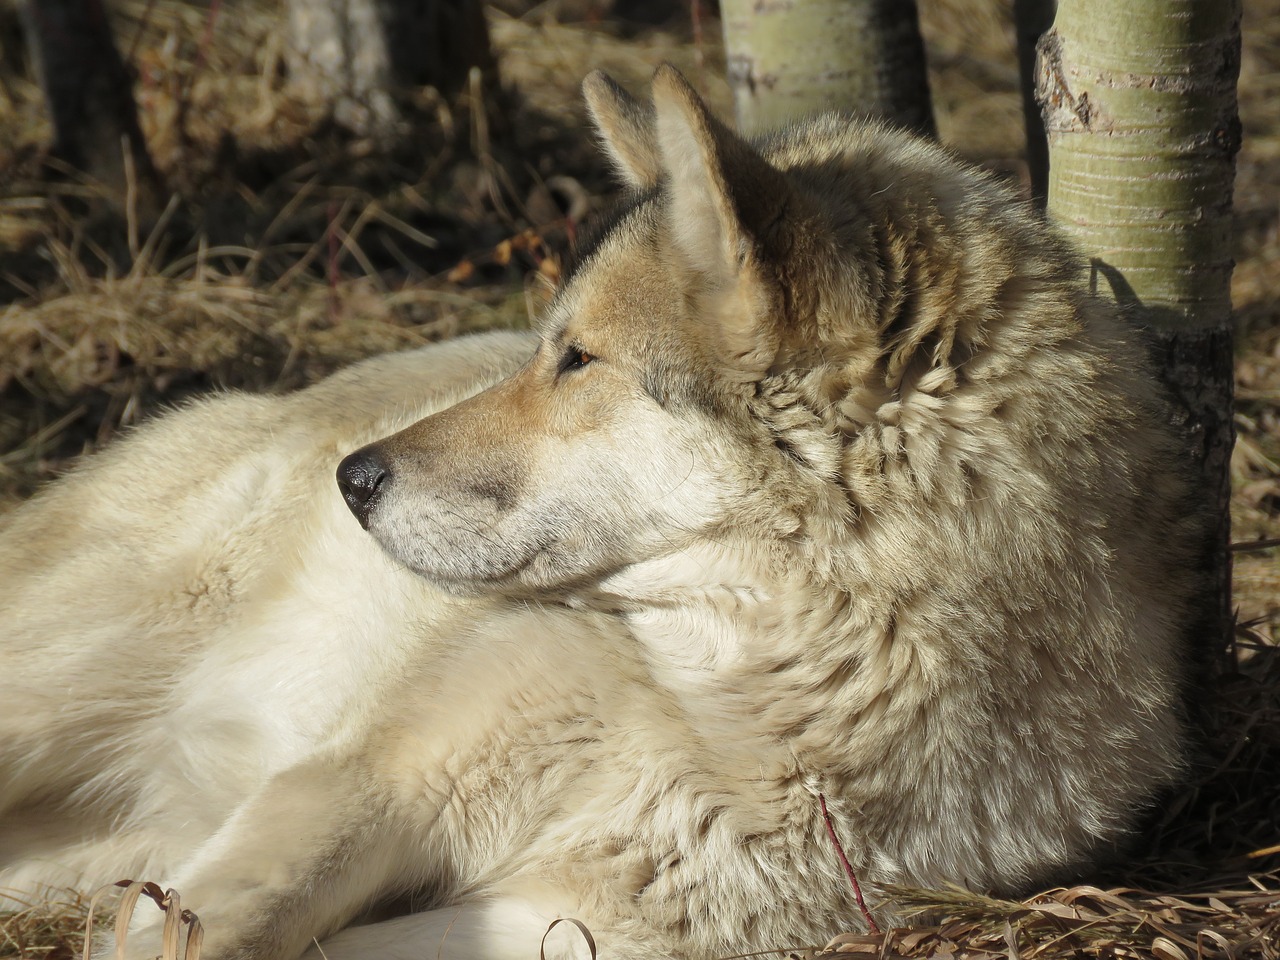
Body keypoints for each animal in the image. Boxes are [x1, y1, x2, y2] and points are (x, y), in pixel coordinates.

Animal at [2, 67, 1208, 960]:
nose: (352, 479)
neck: (741, 694)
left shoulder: (561, 923)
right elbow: (216, 927)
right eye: (548, 347)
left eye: (575, 360)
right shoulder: (364, 788)